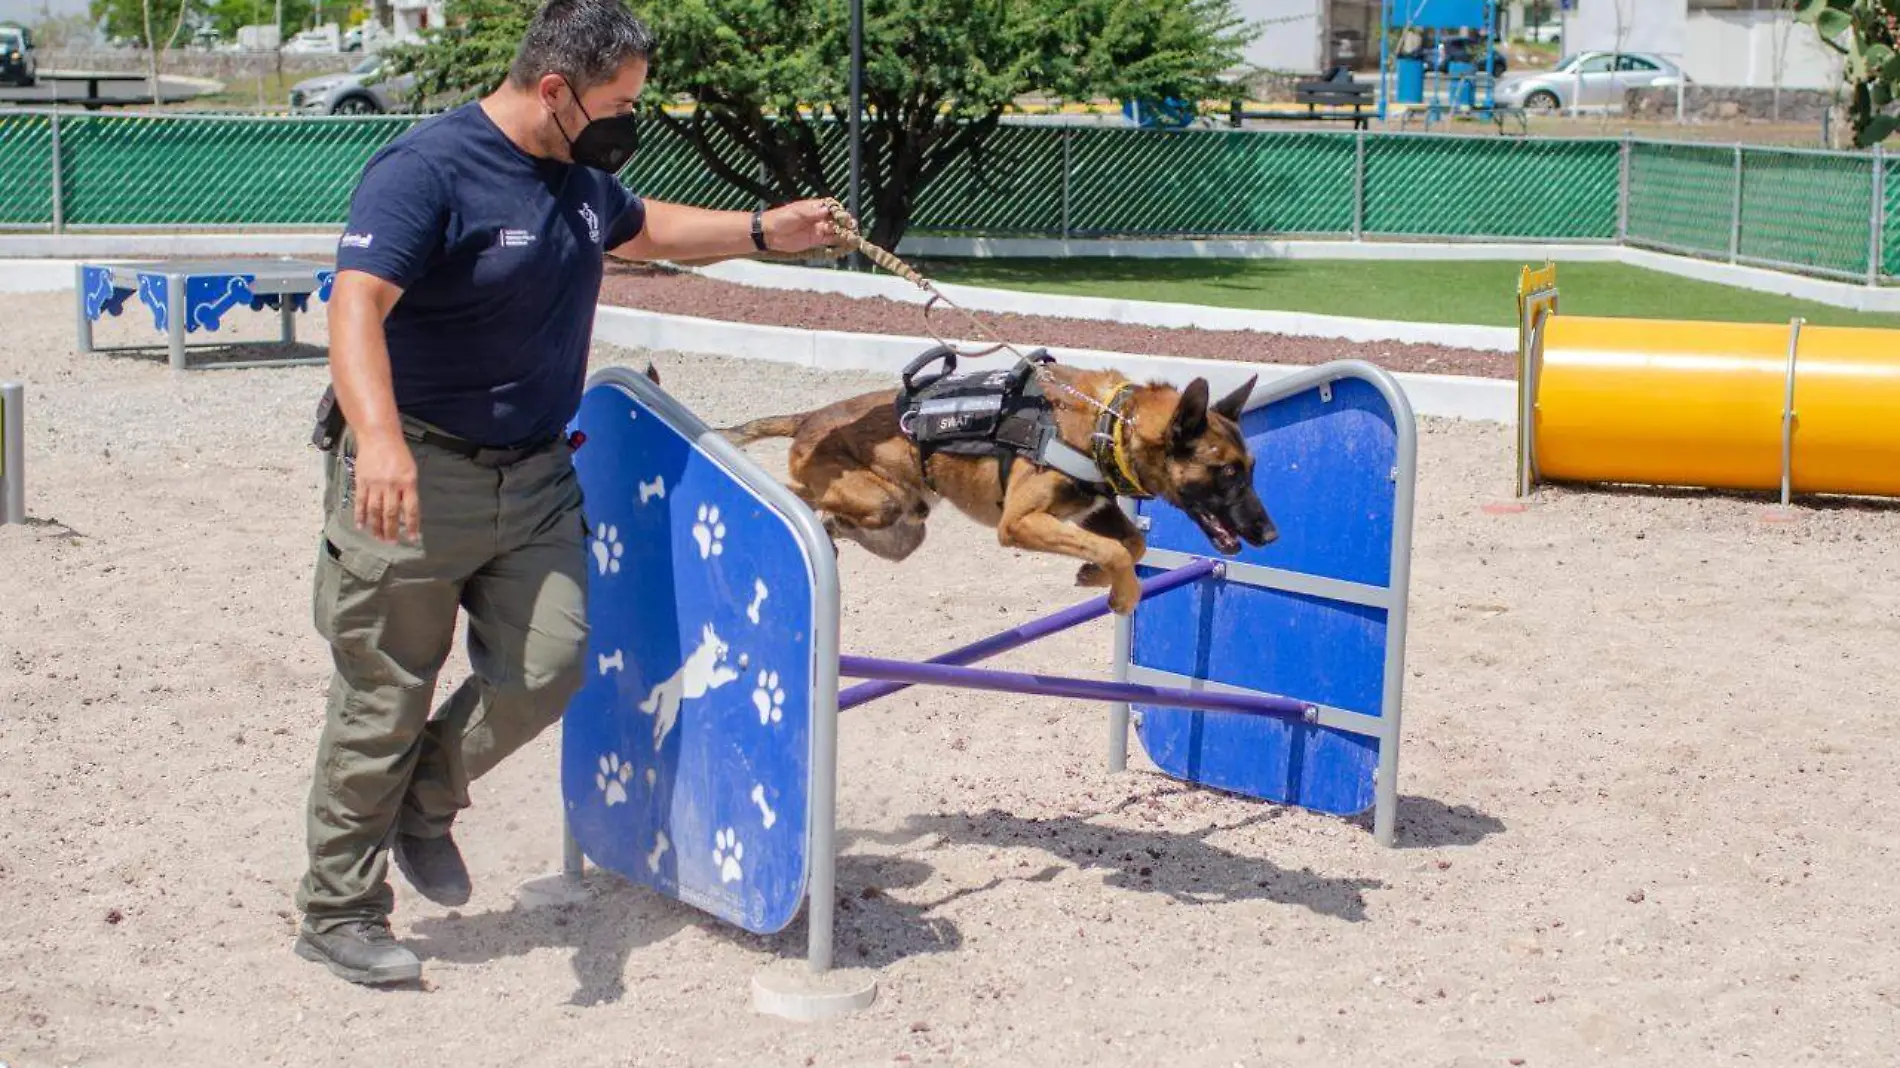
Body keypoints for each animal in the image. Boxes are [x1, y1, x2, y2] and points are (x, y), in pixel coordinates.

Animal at [718, 359, 1269, 611]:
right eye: (1226, 472)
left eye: (1251, 467)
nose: (1271, 535)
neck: (1108, 424)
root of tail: (810, 418)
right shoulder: (1020, 523)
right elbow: (1118, 551)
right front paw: (1120, 593)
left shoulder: (1090, 512)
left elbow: (1130, 543)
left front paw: (1094, 575)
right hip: (882, 501)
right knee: (802, 491)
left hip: (908, 523)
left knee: (836, 516)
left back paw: (829, 530)